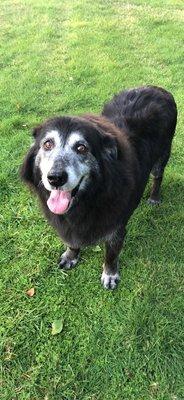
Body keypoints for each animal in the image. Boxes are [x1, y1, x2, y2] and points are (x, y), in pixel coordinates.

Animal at [20, 86, 178, 290]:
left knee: (158, 176)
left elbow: (111, 255)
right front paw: (71, 256)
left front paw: (110, 275)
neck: (91, 196)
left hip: (163, 154)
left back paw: (154, 197)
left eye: (81, 148)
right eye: (47, 144)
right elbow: (72, 241)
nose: (55, 178)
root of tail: (158, 89)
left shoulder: (116, 228)